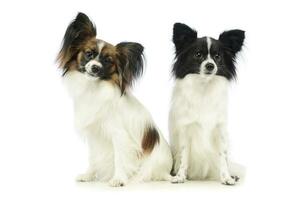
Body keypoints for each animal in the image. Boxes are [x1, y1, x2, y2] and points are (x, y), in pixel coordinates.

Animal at [56, 13, 172, 187]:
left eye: (107, 60)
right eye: (89, 54)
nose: (95, 67)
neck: (94, 88)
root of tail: (168, 170)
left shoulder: (119, 136)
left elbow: (119, 159)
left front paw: (118, 179)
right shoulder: (94, 136)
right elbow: (93, 158)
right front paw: (88, 175)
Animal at [169, 22, 244, 185]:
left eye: (217, 56)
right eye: (198, 54)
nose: (210, 65)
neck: (204, 85)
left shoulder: (219, 130)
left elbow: (222, 155)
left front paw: (226, 177)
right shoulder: (186, 129)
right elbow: (184, 156)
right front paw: (180, 176)